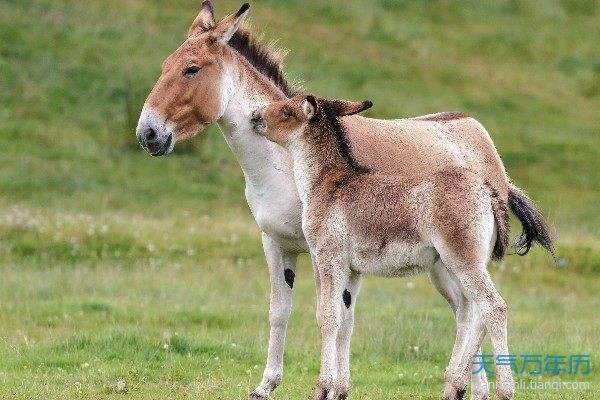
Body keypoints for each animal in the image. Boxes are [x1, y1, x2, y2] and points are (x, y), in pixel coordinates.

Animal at [253, 94, 540, 400]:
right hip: (460, 265)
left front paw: (322, 389)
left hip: (464, 263)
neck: (328, 184)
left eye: (286, 110)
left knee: (494, 308)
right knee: (475, 314)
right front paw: (338, 390)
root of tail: (488, 191)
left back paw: (503, 389)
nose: (255, 116)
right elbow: (345, 322)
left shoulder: (328, 258)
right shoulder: (352, 270)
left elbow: (328, 318)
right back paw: (454, 384)